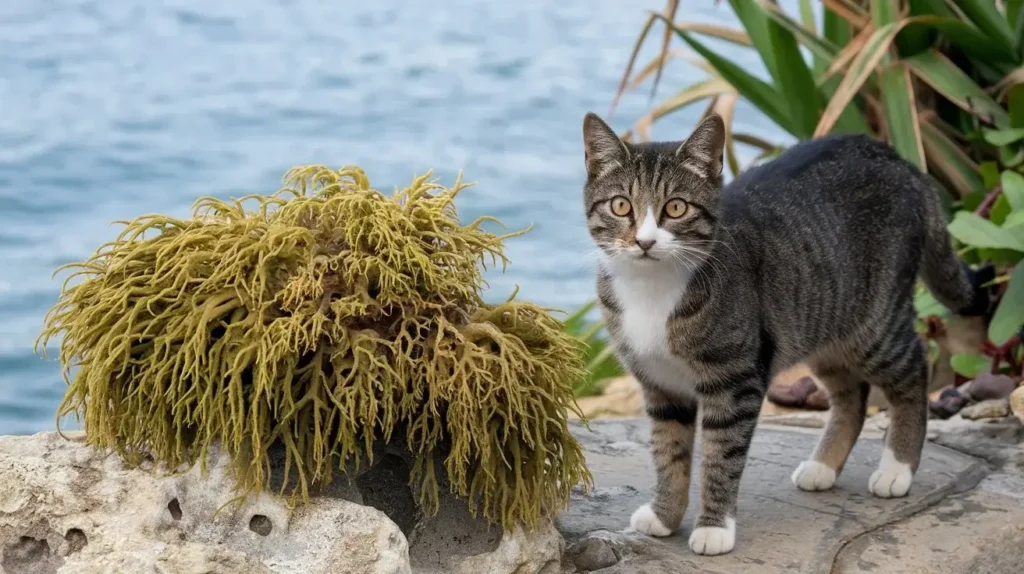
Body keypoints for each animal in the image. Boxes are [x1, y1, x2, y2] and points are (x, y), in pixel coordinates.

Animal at [585, 111, 991, 556]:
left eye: (675, 208)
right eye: (621, 205)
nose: (644, 241)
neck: (651, 289)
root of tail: (901, 160)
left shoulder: (735, 382)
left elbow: (720, 458)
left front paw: (714, 527)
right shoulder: (660, 386)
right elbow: (668, 454)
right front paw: (665, 516)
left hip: (874, 321)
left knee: (914, 369)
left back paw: (897, 468)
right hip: (820, 323)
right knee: (852, 396)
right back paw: (823, 465)